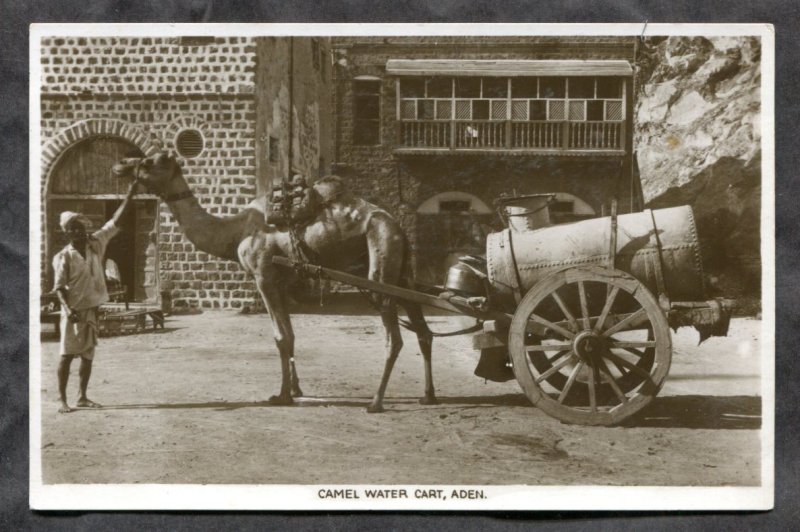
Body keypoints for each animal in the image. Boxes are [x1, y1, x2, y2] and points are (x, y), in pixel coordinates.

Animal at [112, 152, 438, 414]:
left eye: (148, 162)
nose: (120, 165)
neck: (234, 232)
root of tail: (397, 227)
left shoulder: (264, 276)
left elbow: (280, 337)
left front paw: (281, 396)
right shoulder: (282, 283)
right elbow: (290, 335)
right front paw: (295, 389)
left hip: (380, 256)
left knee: (395, 338)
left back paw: (376, 402)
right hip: (400, 270)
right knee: (423, 331)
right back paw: (428, 396)